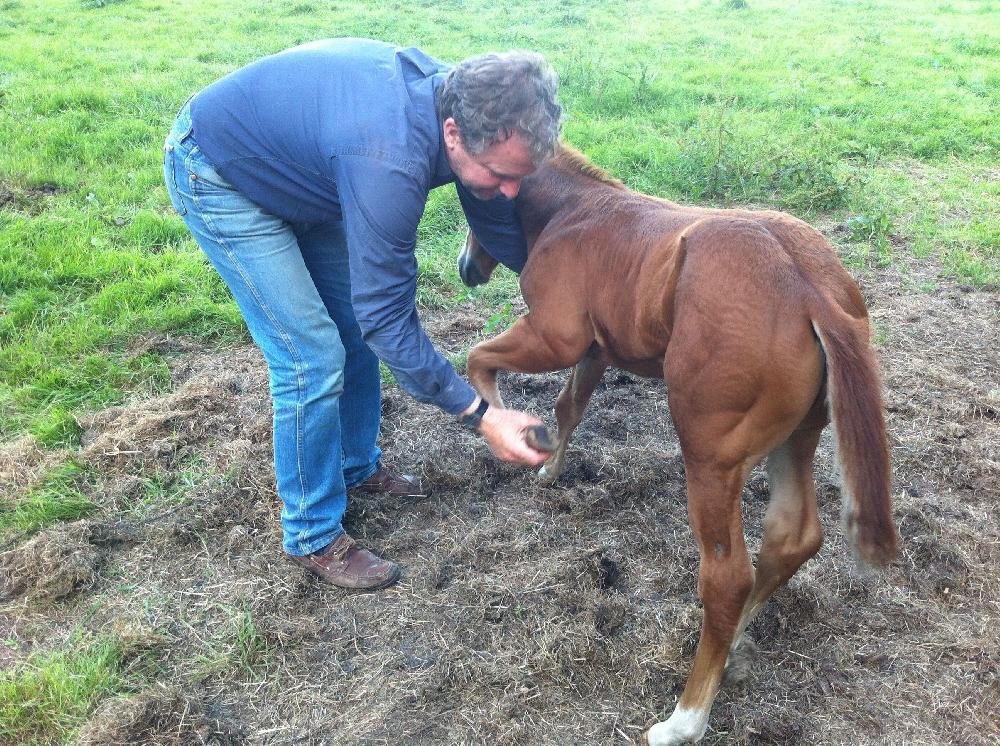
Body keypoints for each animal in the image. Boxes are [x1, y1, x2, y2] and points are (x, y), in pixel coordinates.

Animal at [458, 146, 897, 745]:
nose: (466, 267)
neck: (572, 211)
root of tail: (812, 289)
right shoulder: (598, 347)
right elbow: (570, 405)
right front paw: (549, 464)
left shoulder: (555, 336)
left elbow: (478, 358)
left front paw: (511, 430)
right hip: (797, 438)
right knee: (792, 537)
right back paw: (734, 643)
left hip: (711, 458)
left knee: (727, 580)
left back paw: (684, 719)